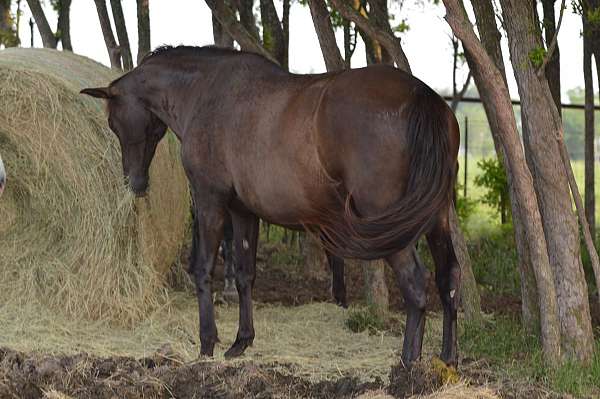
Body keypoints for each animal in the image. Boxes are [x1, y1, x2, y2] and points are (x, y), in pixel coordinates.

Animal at [81, 45, 460, 368]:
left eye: (113, 122)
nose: (135, 183)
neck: (205, 92)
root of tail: (421, 95)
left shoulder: (210, 200)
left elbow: (203, 269)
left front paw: (207, 344)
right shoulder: (243, 211)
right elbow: (245, 274)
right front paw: (241, 341)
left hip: (390, 224)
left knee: (415, 283)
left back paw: (409, 362)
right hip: (435, 219)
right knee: (448, 280)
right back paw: (447, 359)